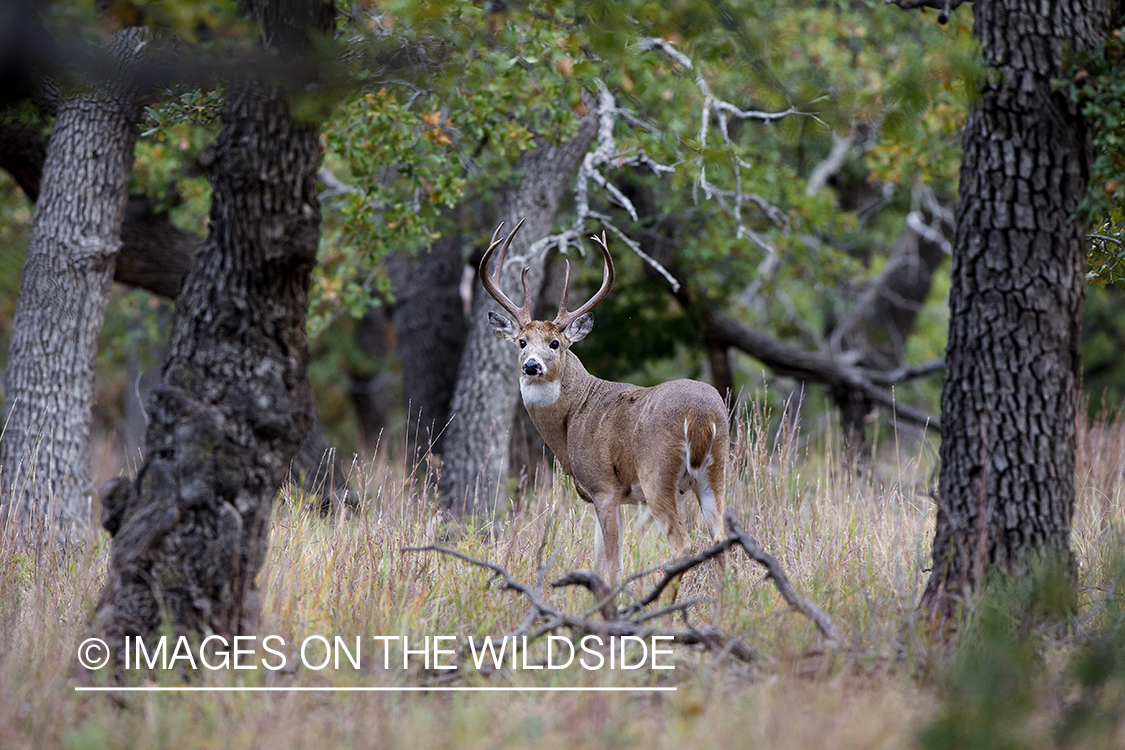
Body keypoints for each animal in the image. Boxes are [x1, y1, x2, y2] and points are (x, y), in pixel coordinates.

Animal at [477, 218, 729, 598]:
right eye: (521, 341)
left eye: (555, 343)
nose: (532, 365)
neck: (572, 419)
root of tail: (701, 414)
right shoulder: (606, 497)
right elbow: (601, 562)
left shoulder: (604, 487)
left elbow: (611, 565)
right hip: (717, 474)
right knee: (720, 543)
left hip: (657, 474)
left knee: (683, 545)